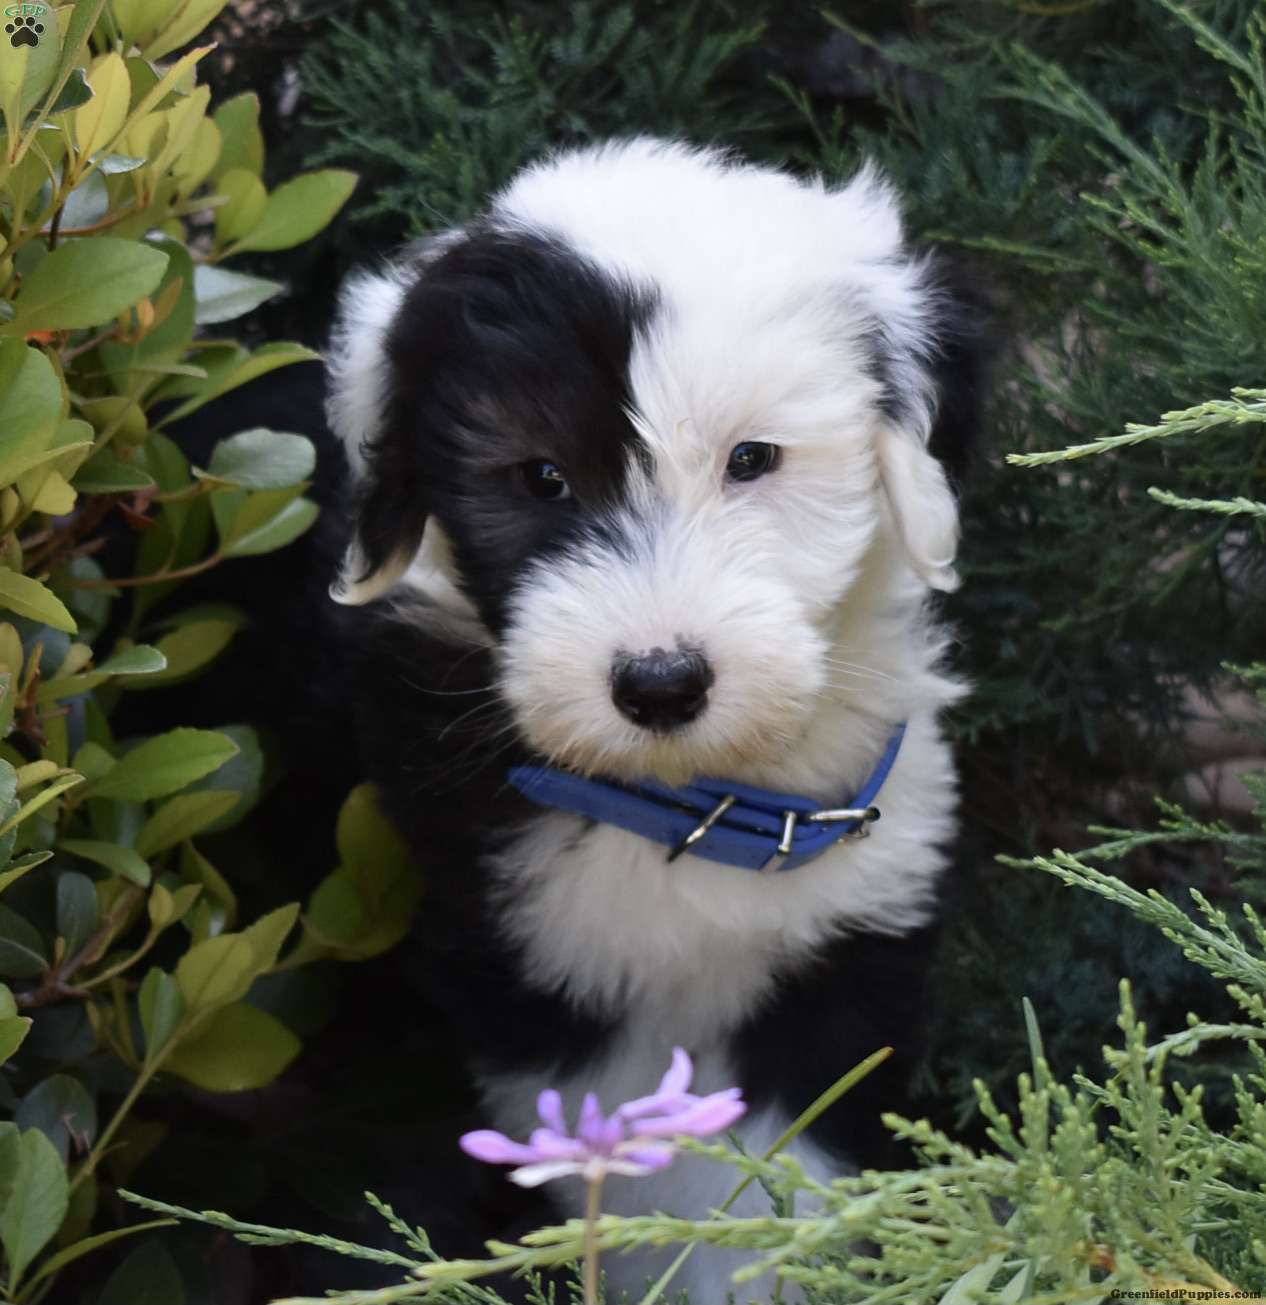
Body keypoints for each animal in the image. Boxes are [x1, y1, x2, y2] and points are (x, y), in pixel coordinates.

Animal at [323, 137, 976, 1299]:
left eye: (752, 459)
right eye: (540, 475)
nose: (661, 683)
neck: (696, 807)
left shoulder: (850, 955)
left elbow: (785, 1184)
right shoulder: (532, 977)